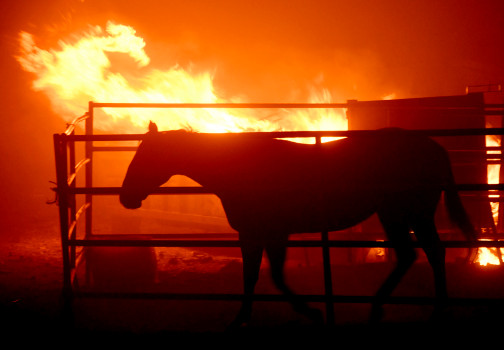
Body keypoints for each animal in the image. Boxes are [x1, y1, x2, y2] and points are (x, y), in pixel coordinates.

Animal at [120, 121, 474, 326]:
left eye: (146, 156)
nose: (126, 197)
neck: (239, 168)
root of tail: (433, 147)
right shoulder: (260, 234)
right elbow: (256, 276)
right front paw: (245, 317)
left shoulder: (269, 233)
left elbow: (270, 277)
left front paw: (308, 311)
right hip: (402, 215)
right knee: (420, 254)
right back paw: (406, 308)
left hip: (403, 213)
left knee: (421, 254)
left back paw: (409, 309)